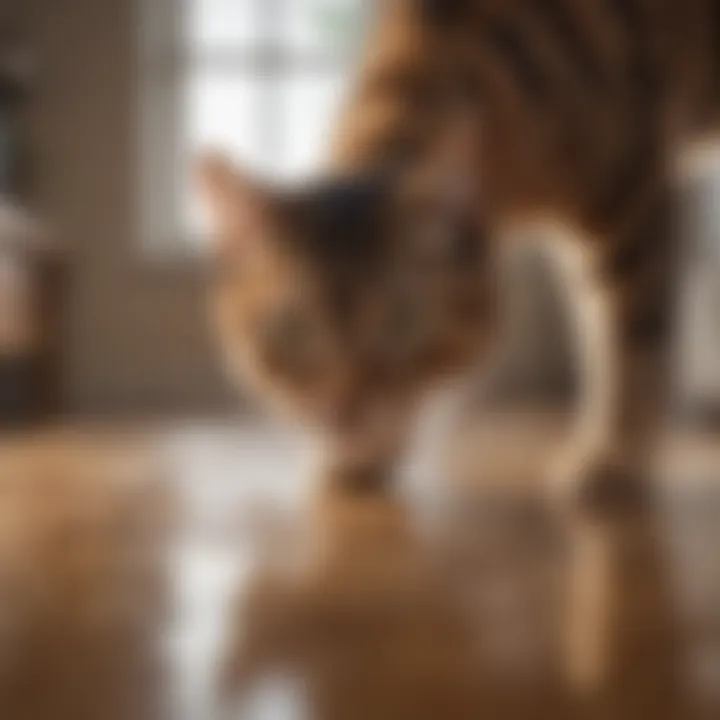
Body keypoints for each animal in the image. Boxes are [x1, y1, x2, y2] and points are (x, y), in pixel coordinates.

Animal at [198, 1, 720, 512]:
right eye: (296, 330)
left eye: (402, 324)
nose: (346, 413)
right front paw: (363, 458)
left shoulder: (630, 200)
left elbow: (629, 346)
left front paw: (614, 456)